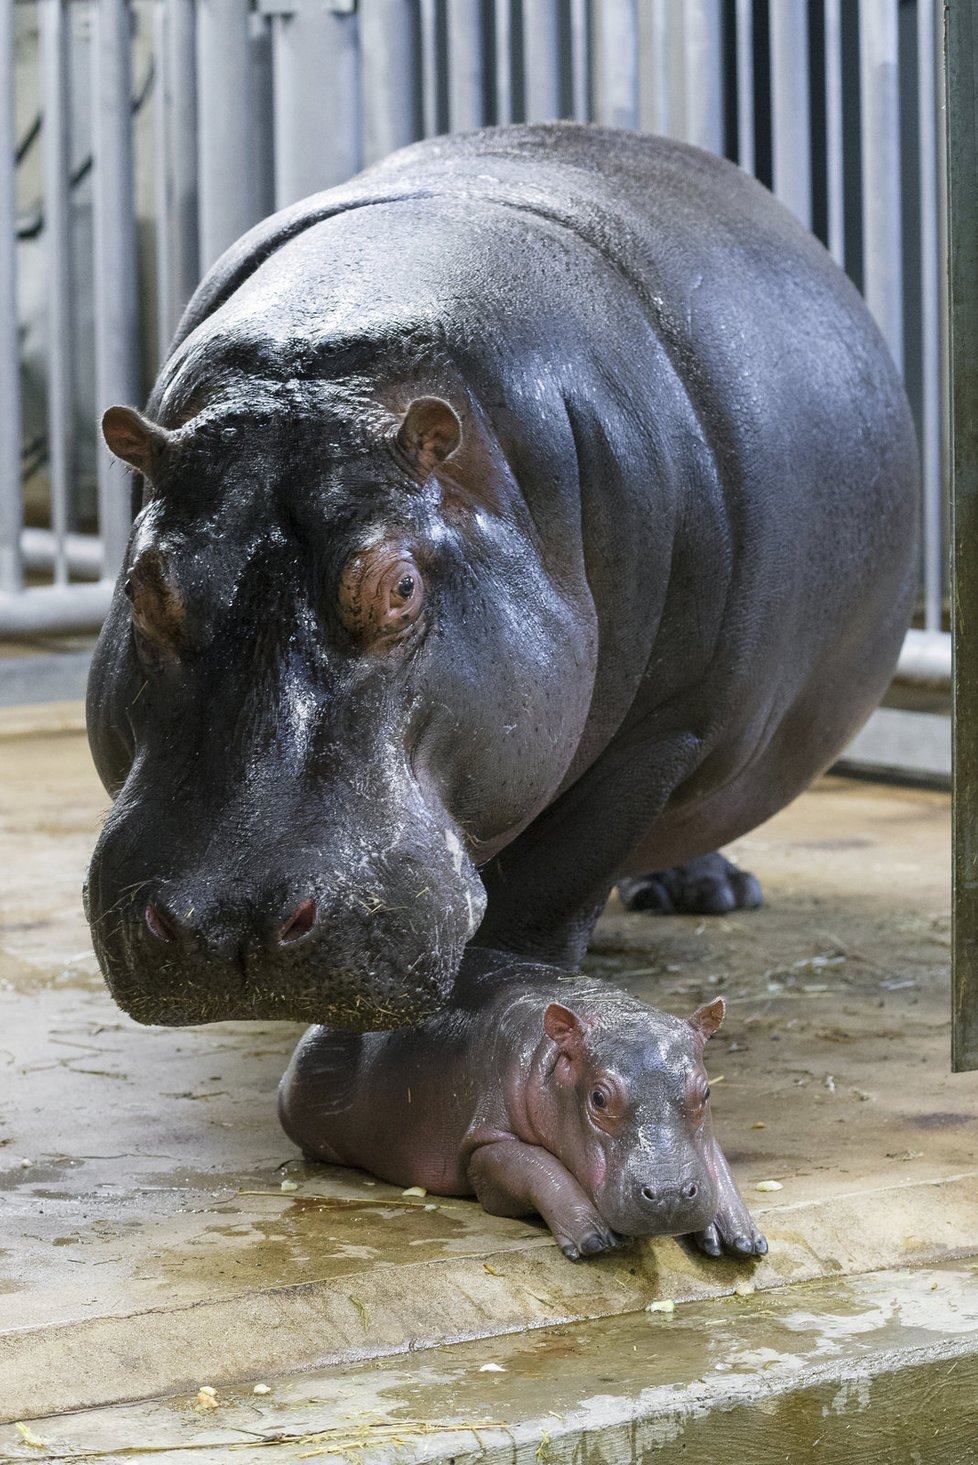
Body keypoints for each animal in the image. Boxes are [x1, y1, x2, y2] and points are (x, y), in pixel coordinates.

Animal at [84, 123, 919, 1031]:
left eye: (401, 588)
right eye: (142, 586)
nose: (230, 918)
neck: (323, 368)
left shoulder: (665, 728)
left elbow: (549, 891)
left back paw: (710, 893)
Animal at [278, 949, 767, 1259]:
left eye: (706, 1092)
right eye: (598, 1097)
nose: (669, 1194)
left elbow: (715, 1158)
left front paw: (740, 1236)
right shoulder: (484, 1145)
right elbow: (535, 1166)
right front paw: (593, 1238)